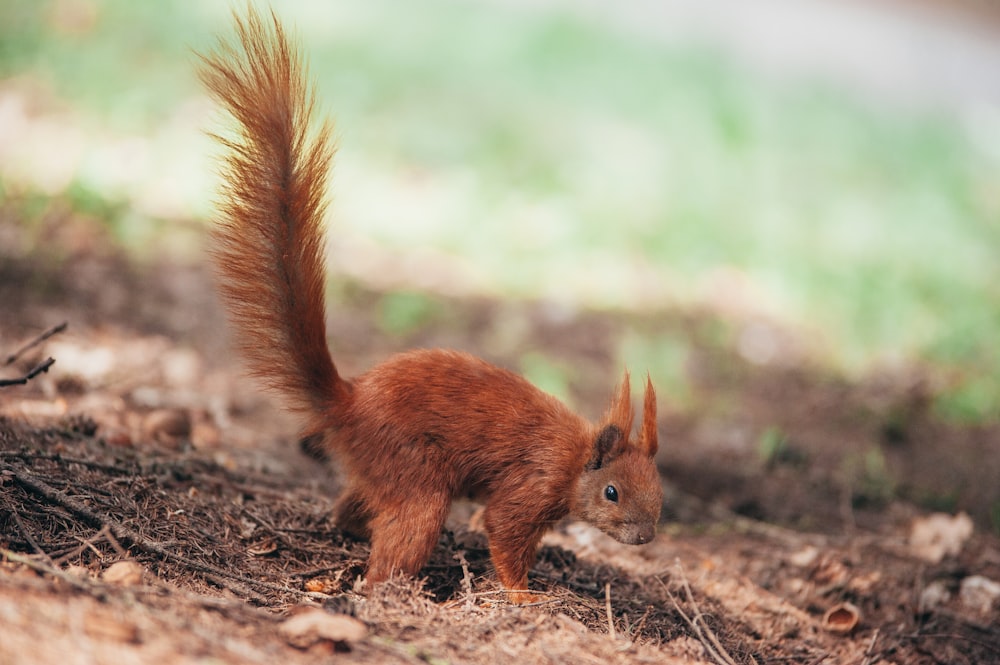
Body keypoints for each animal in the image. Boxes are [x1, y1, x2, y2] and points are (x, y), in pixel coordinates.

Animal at [198, 7, 660, 604]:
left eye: (658, 486)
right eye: (611, 492)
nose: (646, 537)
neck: (576, 456)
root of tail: (348, 404)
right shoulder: (531, 485)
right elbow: (505, 533)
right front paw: (523, 596)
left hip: (384, 474)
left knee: (354, 509)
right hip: (415, 475)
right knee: (398, 539)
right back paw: (391, 591)